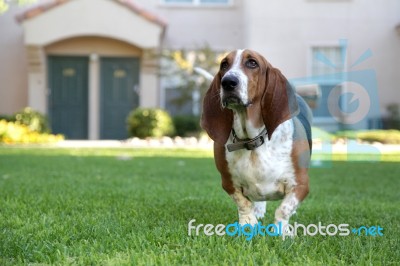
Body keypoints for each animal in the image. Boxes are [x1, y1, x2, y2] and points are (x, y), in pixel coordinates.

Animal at [200, 48, 312, 232]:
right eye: (224, 64)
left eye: (252, 63)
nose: (228, 82)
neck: (252, 141)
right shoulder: (228, 183)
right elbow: (244, 204)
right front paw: (248, 224)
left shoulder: (301, 184)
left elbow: (283, 209)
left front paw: (282, 232)